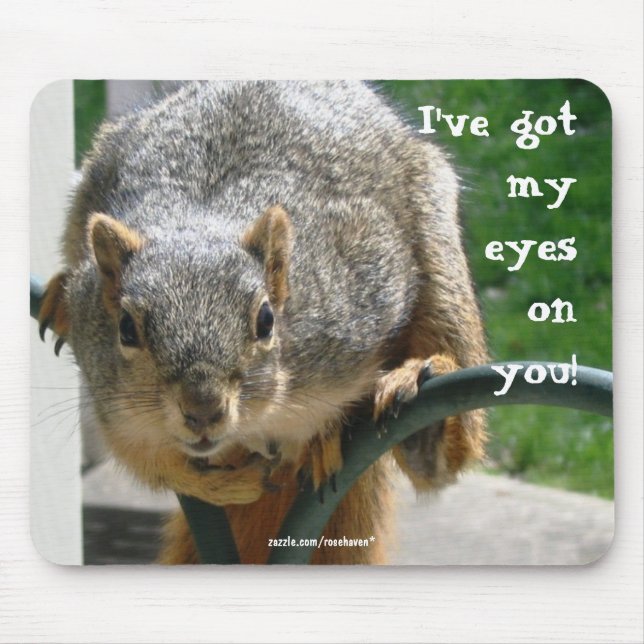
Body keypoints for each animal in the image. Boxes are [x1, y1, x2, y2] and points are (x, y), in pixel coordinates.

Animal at [38, 81, 488, 565]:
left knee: (452, 446)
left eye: (267, 320)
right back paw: (57, 296)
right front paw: (219, 484)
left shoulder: (368, 280)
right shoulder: (117, 408)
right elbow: (150, 464)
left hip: (439, 255)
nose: (203, 410)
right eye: (125, 328)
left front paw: (324, 432)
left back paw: (425, 421)